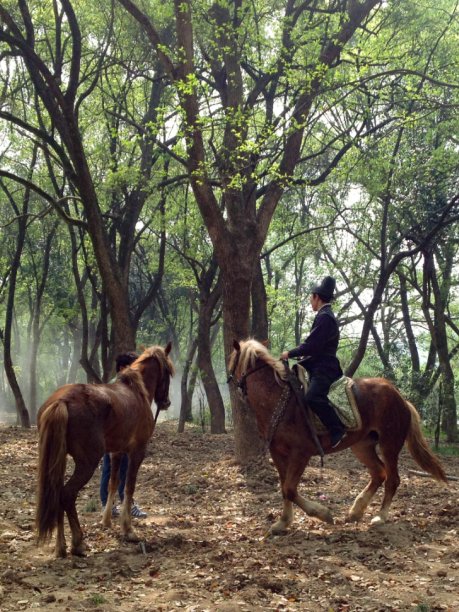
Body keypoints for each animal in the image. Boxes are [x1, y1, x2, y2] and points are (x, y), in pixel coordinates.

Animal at [36, 342, 174, 556]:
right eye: (167, 371)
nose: (166, 402)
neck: (137, 390)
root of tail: (61, 401)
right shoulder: (137, 452)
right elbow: (128, 487)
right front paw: (128, 529)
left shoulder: (116, 452)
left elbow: (113, 483)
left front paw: (107, 521)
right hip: (87, 463)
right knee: (67, 494)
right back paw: (78, 543)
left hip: (58, 459)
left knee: (58, 492)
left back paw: (61, 546)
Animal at [228, 340, 448, 536]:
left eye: (231, 363)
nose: (230, 382)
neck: (278, 400)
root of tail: (401, 398)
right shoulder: (278, 452)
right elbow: (284, 488)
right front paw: (283, 522)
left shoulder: (301, 453)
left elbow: (290, 488)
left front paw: (323, 514)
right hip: (362, 446)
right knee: (379, 473)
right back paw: (356, 511)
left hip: (390, 444)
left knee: (392, 479)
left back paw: (380, 516)